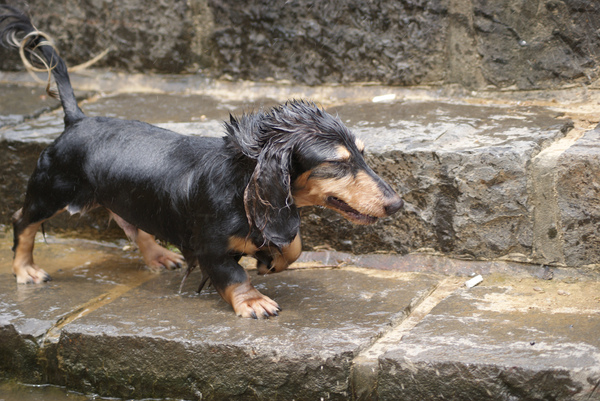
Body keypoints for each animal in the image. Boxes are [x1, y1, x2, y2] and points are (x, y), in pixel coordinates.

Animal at [2, 6, 404, 318]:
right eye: (337, 163)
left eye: (363, 155)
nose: (398, 205)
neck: (241, 181)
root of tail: (77, 119)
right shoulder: (210, 247)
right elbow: (234, 275)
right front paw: (253, 302)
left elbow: (292, 244)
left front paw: (270, 259)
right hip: (50, 190)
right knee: (22, 221)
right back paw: (26, 270)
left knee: (133, 223)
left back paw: (159, 255)